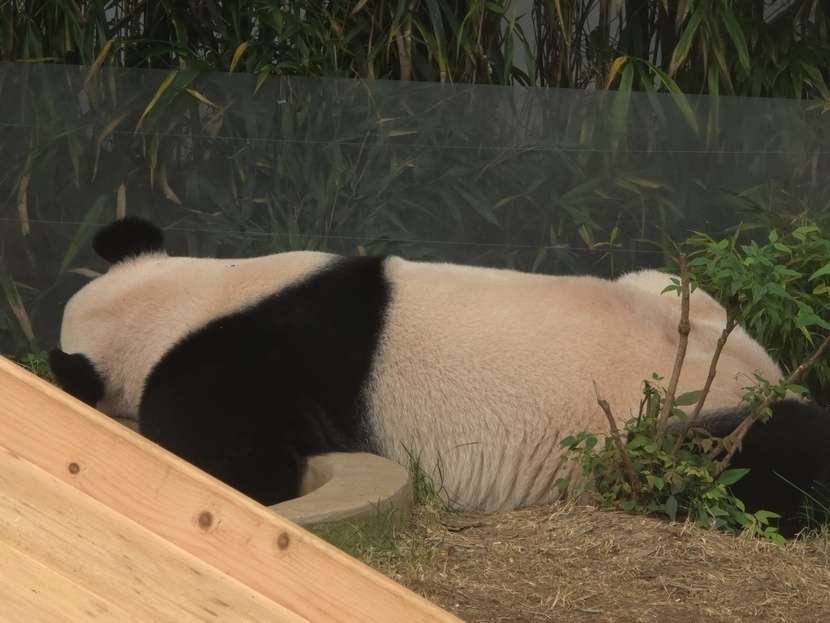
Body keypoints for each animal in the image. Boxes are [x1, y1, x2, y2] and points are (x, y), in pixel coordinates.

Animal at [49, 217, 830, 535]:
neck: (182, 301)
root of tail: (771, 380)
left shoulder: (252, 361)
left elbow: (234, 457)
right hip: (676, 294)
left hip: (676, 429)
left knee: (771, 464)